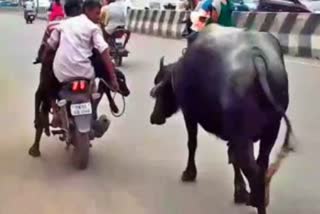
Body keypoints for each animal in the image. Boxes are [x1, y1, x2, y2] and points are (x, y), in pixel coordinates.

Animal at [150, 24, 296, 214]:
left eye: (160, 89)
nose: (154, 118)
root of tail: (256, 57)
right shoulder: (234, 136)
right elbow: (232, 158)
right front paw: (240, 192)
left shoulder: (190, 114)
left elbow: (192, 143)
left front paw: (189, 173)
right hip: (271, 130)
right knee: (261, 165)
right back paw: (256, 199)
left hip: (244, 137)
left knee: (254, 172)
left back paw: (256, 202)